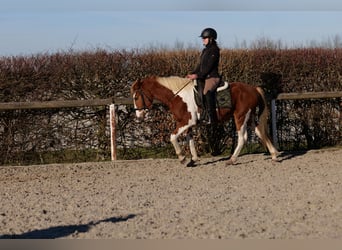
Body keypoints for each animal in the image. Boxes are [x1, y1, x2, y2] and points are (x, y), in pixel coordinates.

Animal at [131, 76, 278, 166]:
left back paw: (232, 159)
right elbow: (190, 140)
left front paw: (182, 158)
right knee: (260, 132)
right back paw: (274, 155)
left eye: (136, 97)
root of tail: (253, 89)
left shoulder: (186, 122)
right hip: (251, 118)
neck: (178, 96)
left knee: (243, 138)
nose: (138, 115)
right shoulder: (188, 125)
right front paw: (193, 160)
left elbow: (172, 137)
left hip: (240, 116)